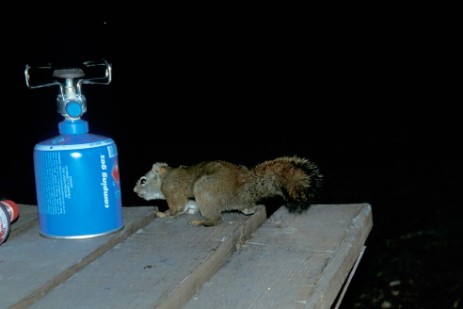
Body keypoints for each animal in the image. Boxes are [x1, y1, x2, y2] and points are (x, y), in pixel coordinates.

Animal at [133, 155, 322, 225]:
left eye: (143, 180)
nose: (134, 190)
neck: (166, 177)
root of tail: (244, 186)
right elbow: (186, 206)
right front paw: (190, 210)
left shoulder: (173, 189)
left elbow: (176, 207)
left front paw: (164, 214)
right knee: (248, 209)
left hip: (203, 190)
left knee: (217, 219)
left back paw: (203, 222)